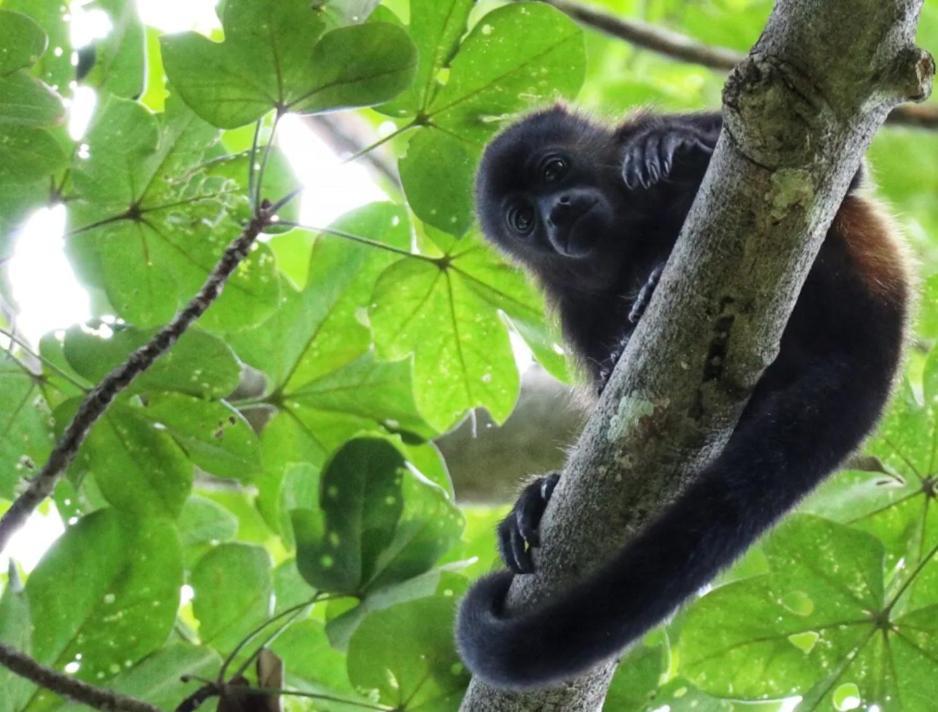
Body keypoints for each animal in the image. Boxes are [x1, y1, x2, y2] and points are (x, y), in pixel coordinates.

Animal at [454, 107, 908, 688]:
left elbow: (843, 177)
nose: (557, 213)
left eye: (554, 169)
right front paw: (543, 490)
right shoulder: (576, 307)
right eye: (521, 221)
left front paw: (668, 147)